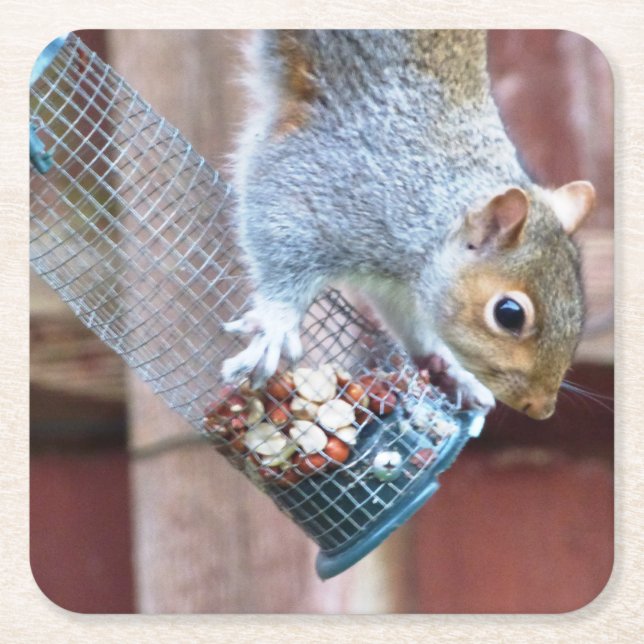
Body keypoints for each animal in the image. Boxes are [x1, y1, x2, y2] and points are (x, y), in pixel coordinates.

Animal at [221, 30, 595, 420]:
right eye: (509, 314)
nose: (541, 409)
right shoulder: (326, 179)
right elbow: (278, 220)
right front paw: (278, 324)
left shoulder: (400, 285)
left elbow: (409, 321)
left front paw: (451, 369)